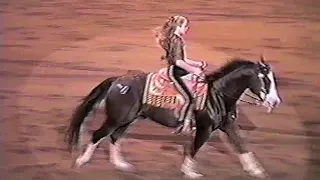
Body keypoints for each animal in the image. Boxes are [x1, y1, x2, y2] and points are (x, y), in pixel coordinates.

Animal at [65, 56, 280, 179]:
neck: (216, 93)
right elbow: (194, 148)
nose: (275, 101)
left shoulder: (227, 125)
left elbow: (241, 146)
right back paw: (81, 162)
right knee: (98, 134)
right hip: (117, 118)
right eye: (264, 79)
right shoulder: (205, 128)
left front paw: (256, 171)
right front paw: (190, 172)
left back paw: (121, 164)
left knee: (115, 137)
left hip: (128, 119)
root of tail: (117, 80)